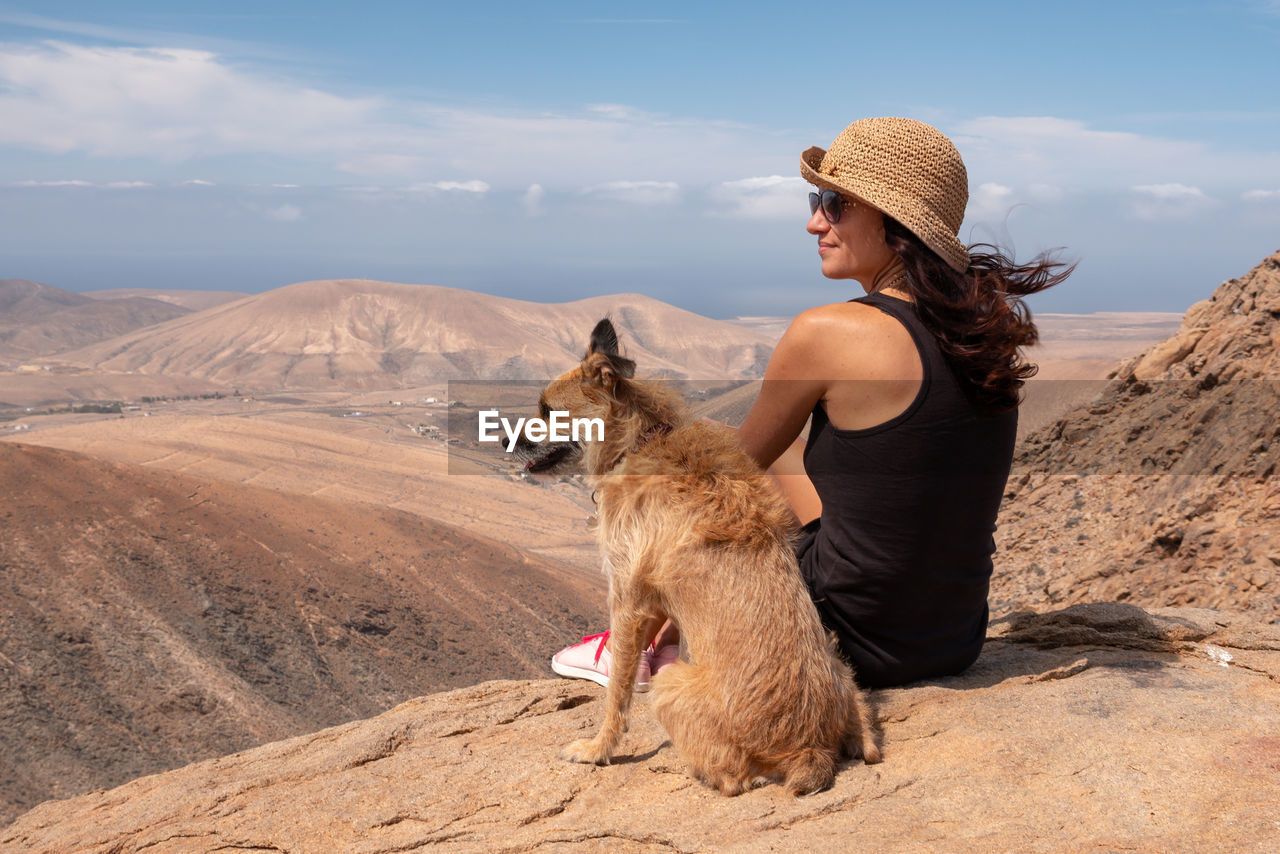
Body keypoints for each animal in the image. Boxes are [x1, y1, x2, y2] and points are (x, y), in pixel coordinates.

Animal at [519, 317, 880, 798]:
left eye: (547, 410)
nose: (503, 439)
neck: (638, 442)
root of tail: (810, 749)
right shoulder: (646, 598)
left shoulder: (628, 599)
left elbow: (617, 691)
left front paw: (598, 749)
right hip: (840, 667)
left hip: (672, 682)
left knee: (732, 779)